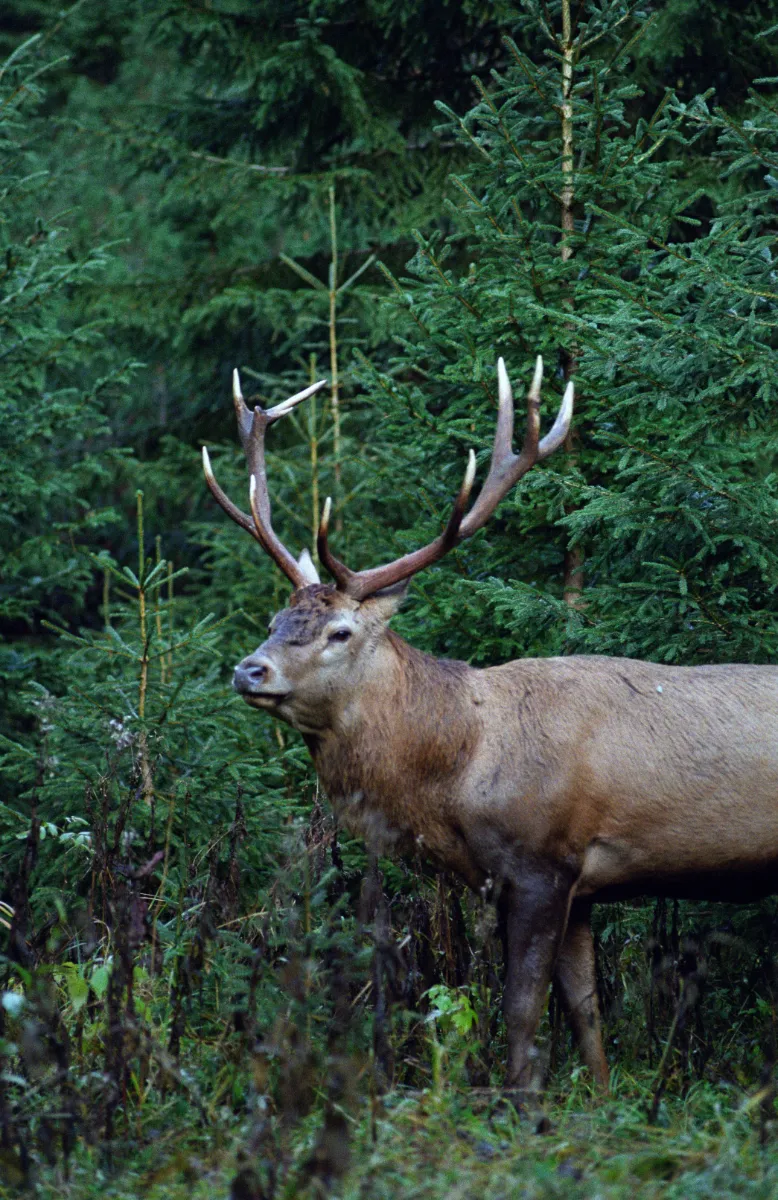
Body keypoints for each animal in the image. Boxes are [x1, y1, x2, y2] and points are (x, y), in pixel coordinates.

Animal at [202, 357, 778, 1095]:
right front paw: (597, 1097)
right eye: (276, 621)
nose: (250, 670)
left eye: (340, 631)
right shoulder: (578, 884)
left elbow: (522, 1011)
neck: (459, 772)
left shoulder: (539, 862)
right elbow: (585, 1009)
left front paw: (523, 1105)